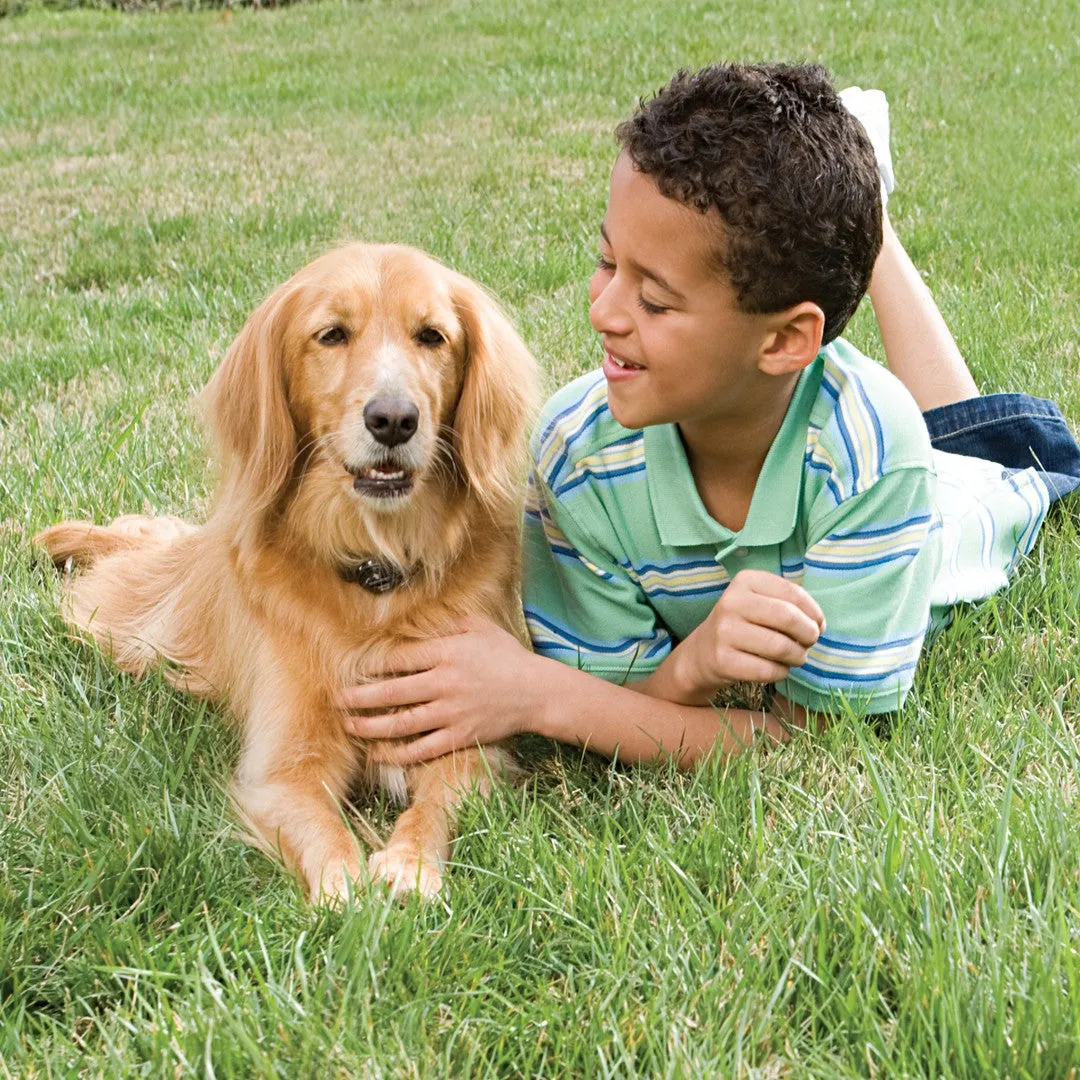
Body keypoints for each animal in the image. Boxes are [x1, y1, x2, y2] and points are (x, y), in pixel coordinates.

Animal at [34, 245, 540, 902]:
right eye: (332, 334)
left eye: (432, 336)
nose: (394, 419)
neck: (375, 568)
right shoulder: (283, 767)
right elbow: (323, 830)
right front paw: (346, 890)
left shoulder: (460, 732)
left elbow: (434, 807)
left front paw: (409, 864)